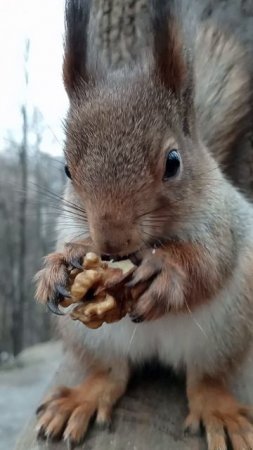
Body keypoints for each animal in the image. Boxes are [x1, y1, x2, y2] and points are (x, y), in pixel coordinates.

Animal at [35, 0, 253, 450]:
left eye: (173, 162)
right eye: (67, 169)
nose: (111, 242)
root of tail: (156, 352)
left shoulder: (225, 220)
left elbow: (210, 260)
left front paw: (166, 271)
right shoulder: (71, 223)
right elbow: (68, 243)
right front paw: (59, 266)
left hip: (230, 327)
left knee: (206, 379)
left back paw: (219, 409)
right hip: (91, 338)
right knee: (111, 372)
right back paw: (84, 397)